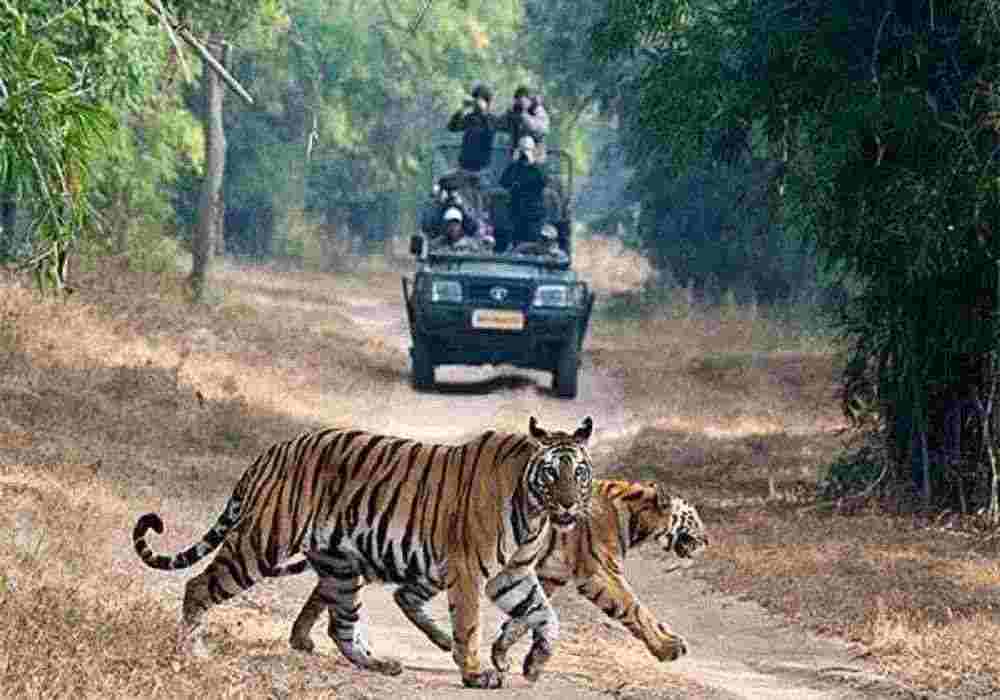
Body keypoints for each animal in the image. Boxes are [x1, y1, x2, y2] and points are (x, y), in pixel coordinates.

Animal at [132, 416, 595, 689]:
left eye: (579, 472)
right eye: (551, 473)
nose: (570, 505)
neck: (534, 509)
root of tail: (272, 451)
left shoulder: (511, 574)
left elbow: (545, 614)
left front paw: (535, 662)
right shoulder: (467, 569)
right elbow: (469, 624)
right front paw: (476, 673)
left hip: (340, 565)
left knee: (342, 626)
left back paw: (381, 664)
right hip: (262, 542)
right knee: (198, 585)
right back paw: (190, 650)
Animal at [285, 479, 709, 670]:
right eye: (693, 518)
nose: (708, 539)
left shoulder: (548, 575)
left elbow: (524, 618)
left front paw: (502, 654)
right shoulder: (600, 573)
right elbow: (636, 610)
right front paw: (668, 647)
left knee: (347, 592)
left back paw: (302, 638)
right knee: (367, 595)